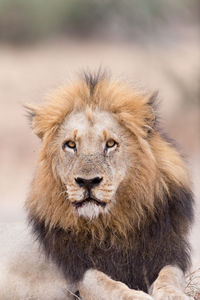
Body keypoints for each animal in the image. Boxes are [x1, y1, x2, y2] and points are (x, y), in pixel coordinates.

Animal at [24, 71, 193, 298]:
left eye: (111, 144)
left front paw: (173, 294)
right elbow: (107, 284)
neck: (113, 225)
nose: (87, 182)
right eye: (70, 145)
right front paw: (136, 296)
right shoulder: (77, 270)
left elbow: (168, 278)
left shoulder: (168, 253)